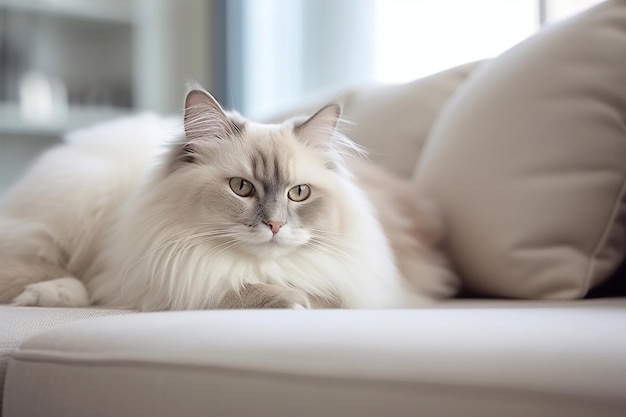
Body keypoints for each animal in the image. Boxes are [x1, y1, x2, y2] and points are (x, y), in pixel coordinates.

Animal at [0, 88, 458, 308]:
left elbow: (312, 290)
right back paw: (50, 294)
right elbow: (228, 288)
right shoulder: (171, 270)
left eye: (299, 193)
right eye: (242, 187)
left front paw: (292, 295)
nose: (275, 224)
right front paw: (288, 299)